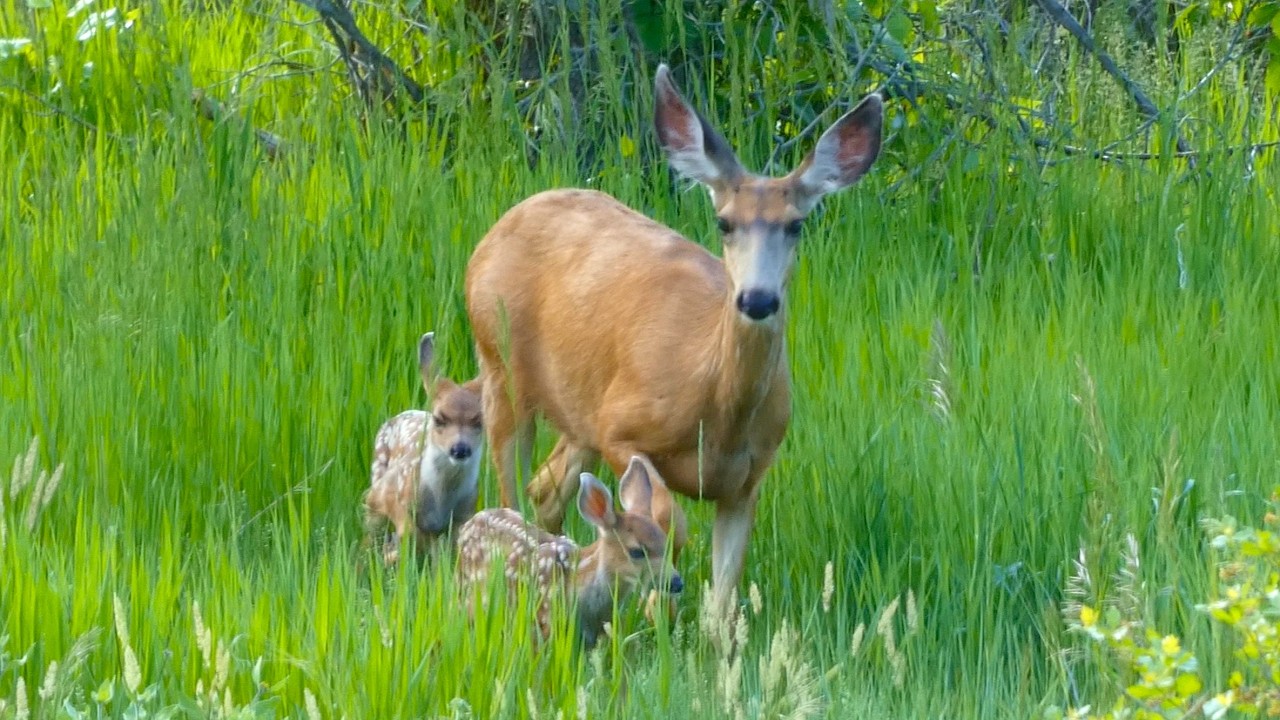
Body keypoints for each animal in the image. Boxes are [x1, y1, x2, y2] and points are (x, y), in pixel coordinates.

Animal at [363, 332, 484, 566]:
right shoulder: (396, 500)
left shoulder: (462, 515)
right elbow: (410, 535)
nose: (460, 449)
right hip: (376, 482)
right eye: (439, 418)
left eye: (479, 421)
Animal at [464, 63, 883, 624]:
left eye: (797, 225)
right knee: (510, 482)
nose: (757, 299)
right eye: (724, 222)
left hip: (580, 410)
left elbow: (725, 599)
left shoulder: (748, 480)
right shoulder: (621, 428)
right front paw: (652, 598)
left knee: (547, 488)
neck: (716, 411)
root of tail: (494, 233)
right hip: (500, 364)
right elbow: (672, 520)